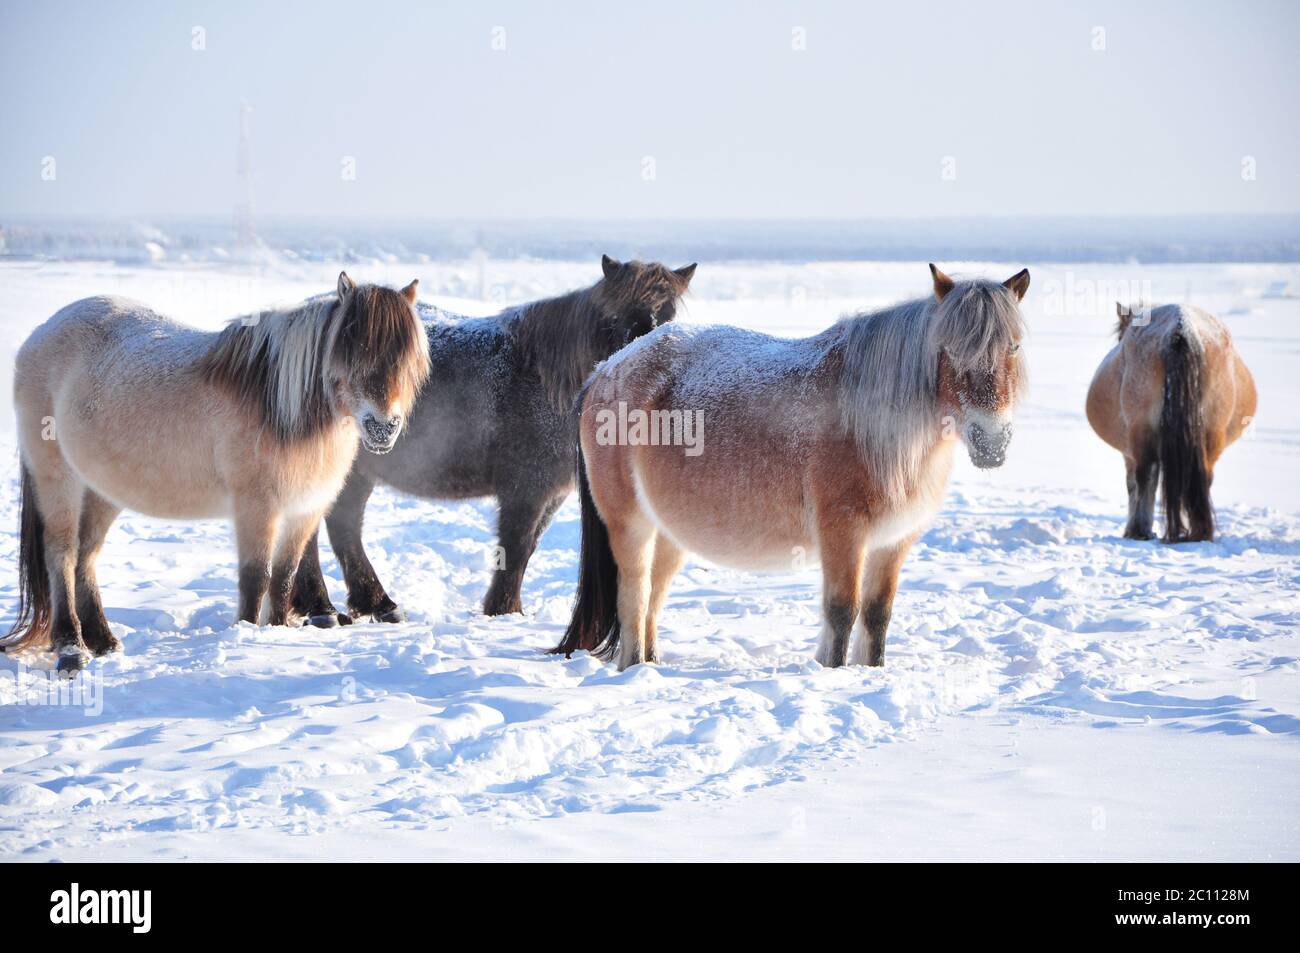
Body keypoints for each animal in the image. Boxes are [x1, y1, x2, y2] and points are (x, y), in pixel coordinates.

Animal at [2, 273, 430, 675]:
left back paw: (104, 641)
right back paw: (71, 649)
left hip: (102, 491)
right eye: (351, 351)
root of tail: (41, 333)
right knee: (61, 554)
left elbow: (284, 576)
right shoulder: (256, 508)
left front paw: (279, 633)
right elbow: (256, 577)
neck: (277, 404)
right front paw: (249, 635)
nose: (383, 428)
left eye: (407, 360)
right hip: (58, 480)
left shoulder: (304, 511)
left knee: (85, 557)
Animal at [290, 255, 696, 625]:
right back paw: (325, 608)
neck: (547, 378)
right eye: (614, 318)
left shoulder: (550, 494)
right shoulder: (526, 488)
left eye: (668, 315)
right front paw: (504, 610)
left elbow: (526, 548)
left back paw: (369, 604)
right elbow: (515, 546)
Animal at [552, 264, 1029, 671]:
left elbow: (878, 615)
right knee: (633, 596)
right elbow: (842, 611)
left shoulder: (893, 541)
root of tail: (606, 370)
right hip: (630, 524)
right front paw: (834, 672)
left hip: (669, 532)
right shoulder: (842, 533)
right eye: (948, 349)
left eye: (1014, 347)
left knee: (654, 595)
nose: (992, 442)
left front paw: (871, 672)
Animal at [1085, 302, 1256, 542]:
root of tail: (1181, 327)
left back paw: (1139, 531)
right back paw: (1198, 532)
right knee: (1202, 476)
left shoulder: (1129, 453)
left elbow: (1133, 485)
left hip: (1141, 434)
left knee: (1145, 476)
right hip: (1211, 436)